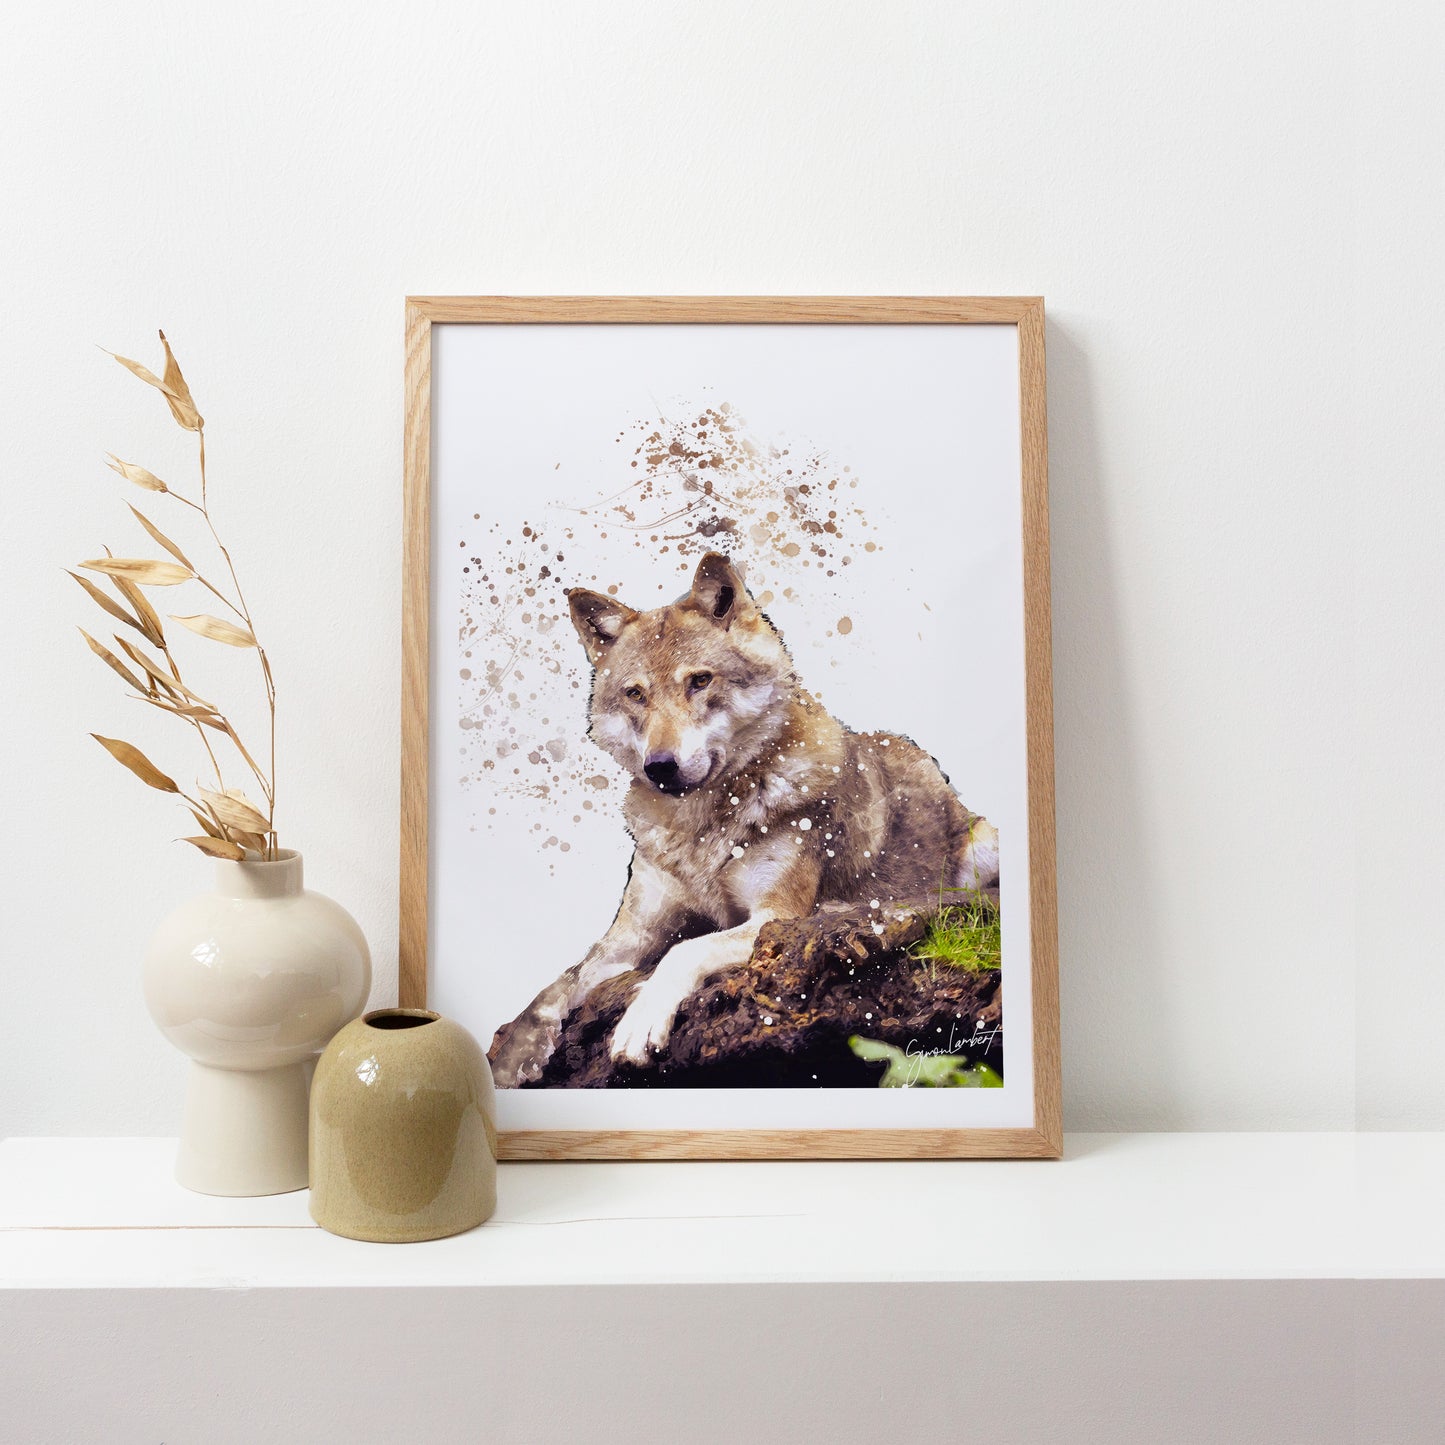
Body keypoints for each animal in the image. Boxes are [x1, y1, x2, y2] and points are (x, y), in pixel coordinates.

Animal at [487, 552, 1000, 1087]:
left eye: (700, 681)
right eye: (635, 694)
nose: (659, 766)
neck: (699, 827)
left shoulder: (773, 916)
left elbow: (686, 949)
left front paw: (639, 1024)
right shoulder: (630, 935)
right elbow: (553, 989)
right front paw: (512, 1060)